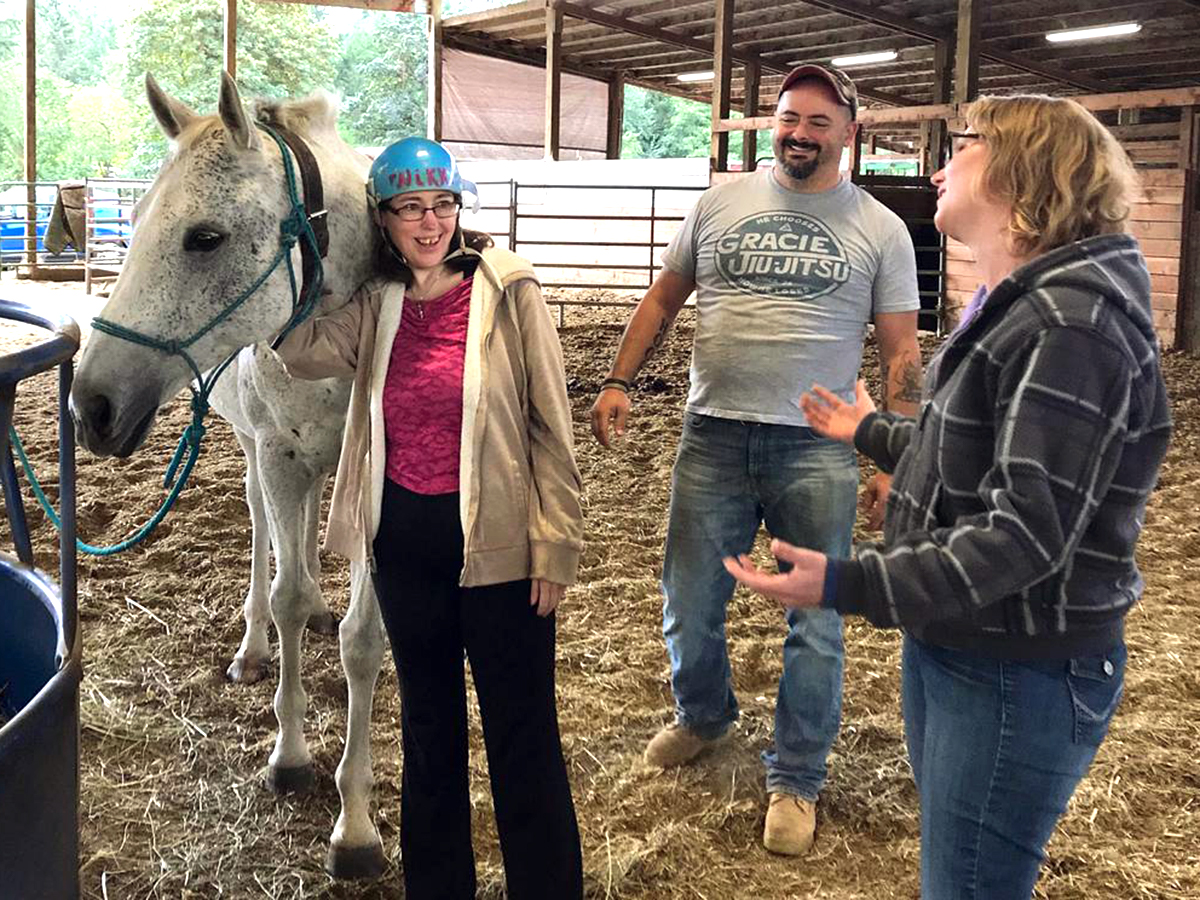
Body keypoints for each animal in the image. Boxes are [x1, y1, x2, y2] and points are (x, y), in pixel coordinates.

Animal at [70, 74, 386, 883]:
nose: (91, 406)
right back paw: (254, 647)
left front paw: (356, 824)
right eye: (133, 219)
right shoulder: (276, 455)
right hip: (256, 453)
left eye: (205, 237)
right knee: (264, 530)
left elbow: (362, 636)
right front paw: (291, 757)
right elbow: (285, 593)